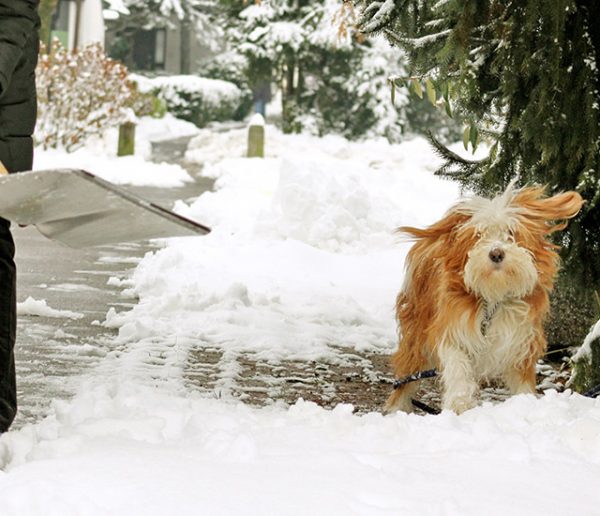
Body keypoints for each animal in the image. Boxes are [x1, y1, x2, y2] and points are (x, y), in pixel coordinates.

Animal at [386, 183, 584, 414]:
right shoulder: (452, 328)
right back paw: (396, 409)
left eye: (511, 232)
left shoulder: (522, 339)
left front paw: (524, 403)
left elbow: (522, 380)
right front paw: (460, 404)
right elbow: (457, 367)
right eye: (479, 235)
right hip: (416, 333)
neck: (494, 299)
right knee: (406, 376)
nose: (496, 253)